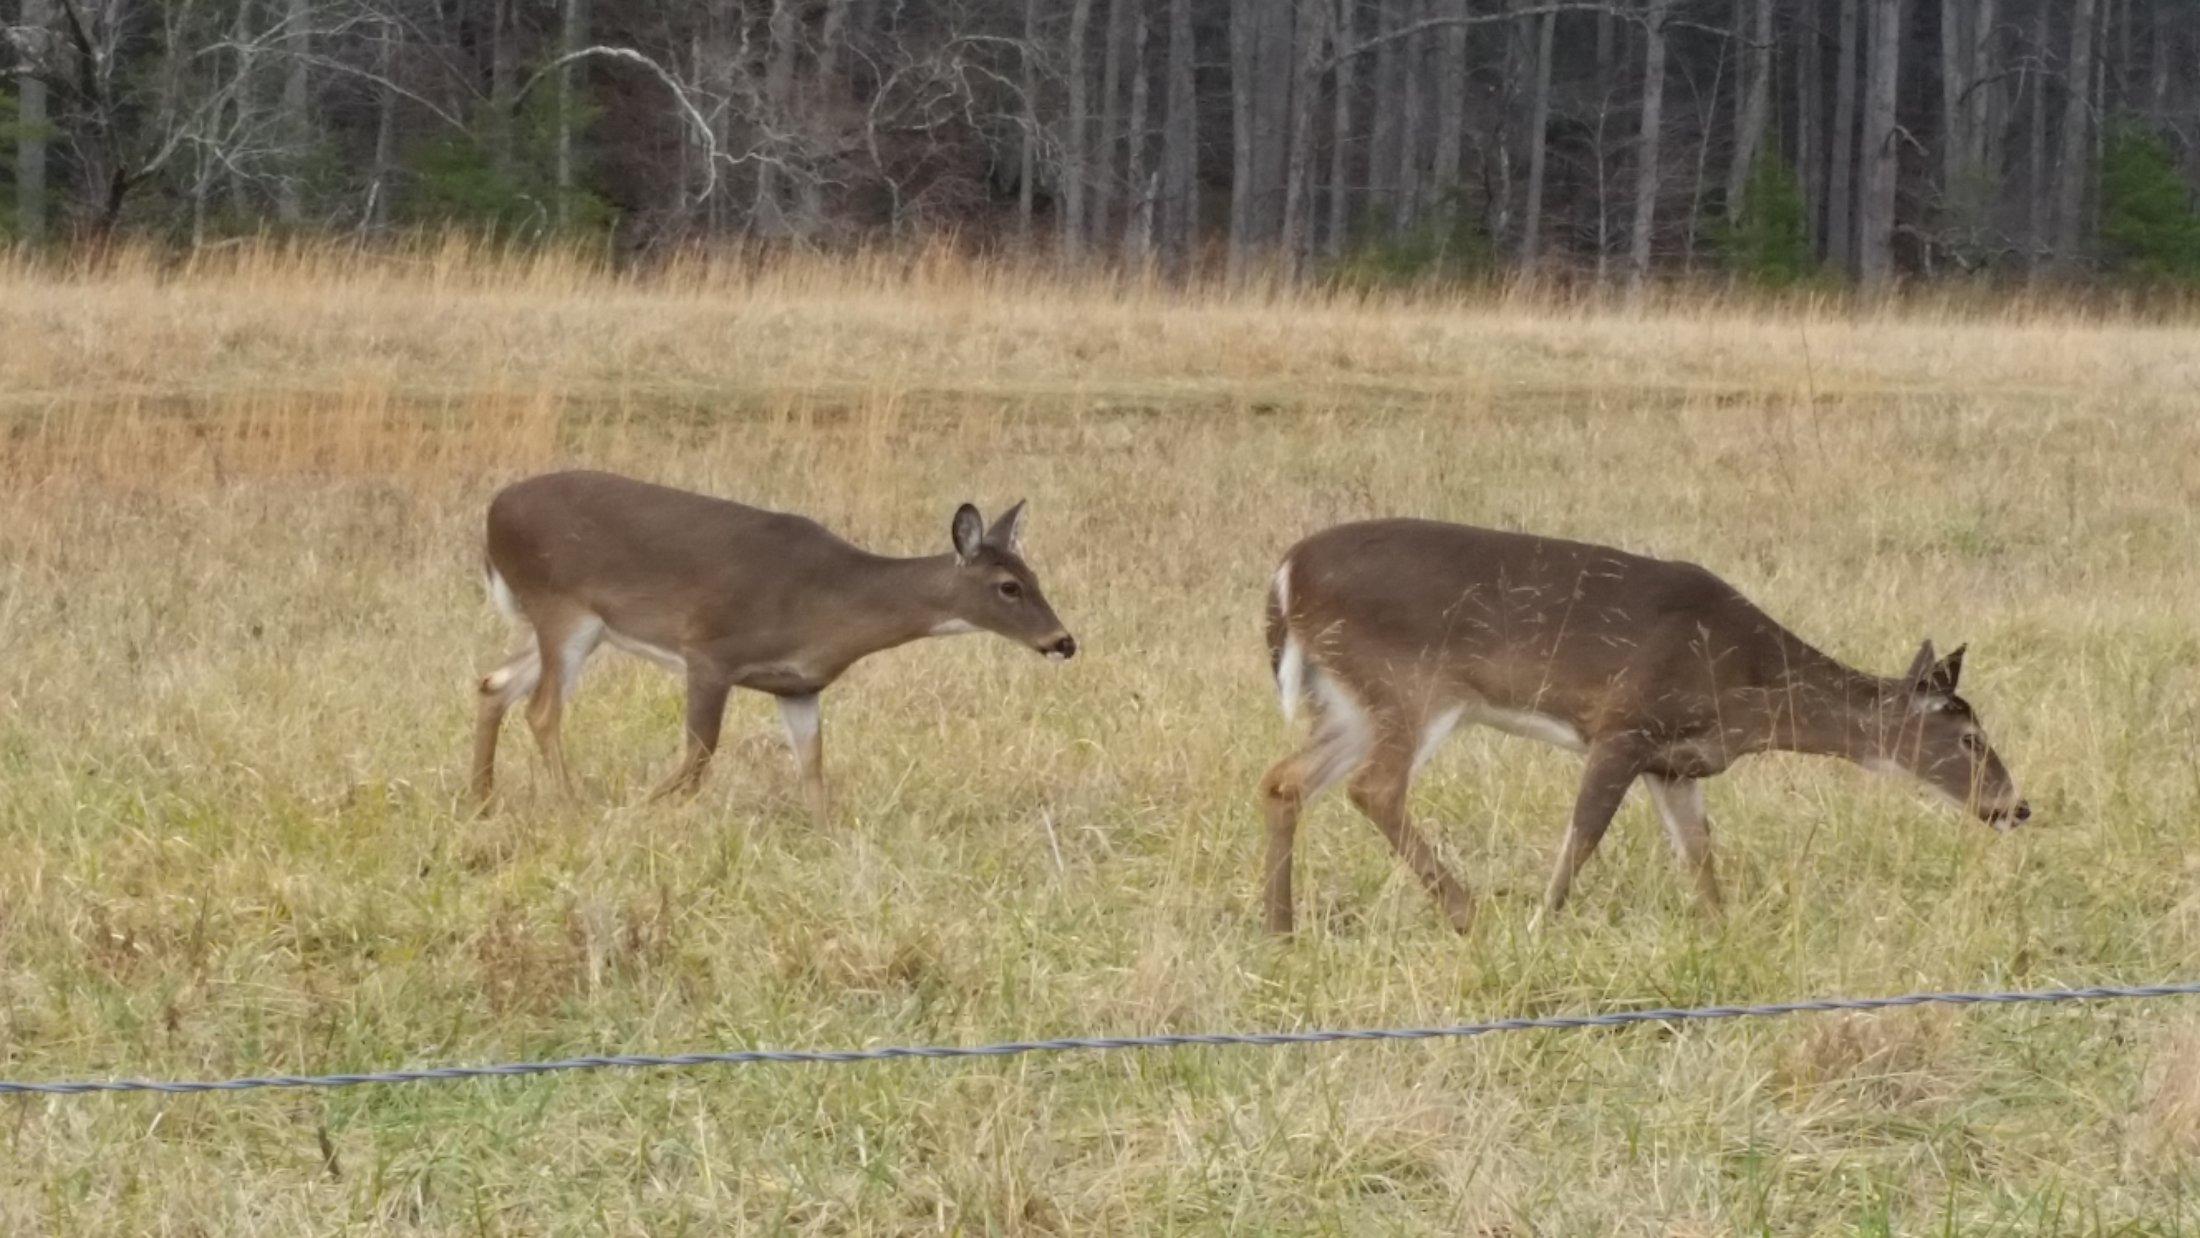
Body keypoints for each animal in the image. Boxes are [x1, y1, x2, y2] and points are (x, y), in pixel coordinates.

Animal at [470, 469, 1077, 822]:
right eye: (1009, 586)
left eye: (1036, 575)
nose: (1064, 641)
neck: (832, 601)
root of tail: (492, 514)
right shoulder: (710, 651)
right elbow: (700, 754)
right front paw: (639, 810)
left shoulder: (799, 687)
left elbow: (812, 766)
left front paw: (824, 835)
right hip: (563, 608)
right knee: (541, 708)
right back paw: (574, 806)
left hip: (578, 626)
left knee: (493, 683)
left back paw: (482, 799)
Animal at [1257, 518, 2029, 936]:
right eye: (1970, 739)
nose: (2015, 806)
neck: (1746, 688)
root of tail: (1285, 573)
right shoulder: (1624, 723)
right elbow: (1583, 838)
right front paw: (1541, 927)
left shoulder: (1674, 763)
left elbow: (1699, 855)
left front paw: (1722, 936)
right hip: (1409, 683)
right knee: (1373, 787)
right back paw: (1466, 911)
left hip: (1350, 698)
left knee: (1283, 779)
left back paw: (1281, 926)